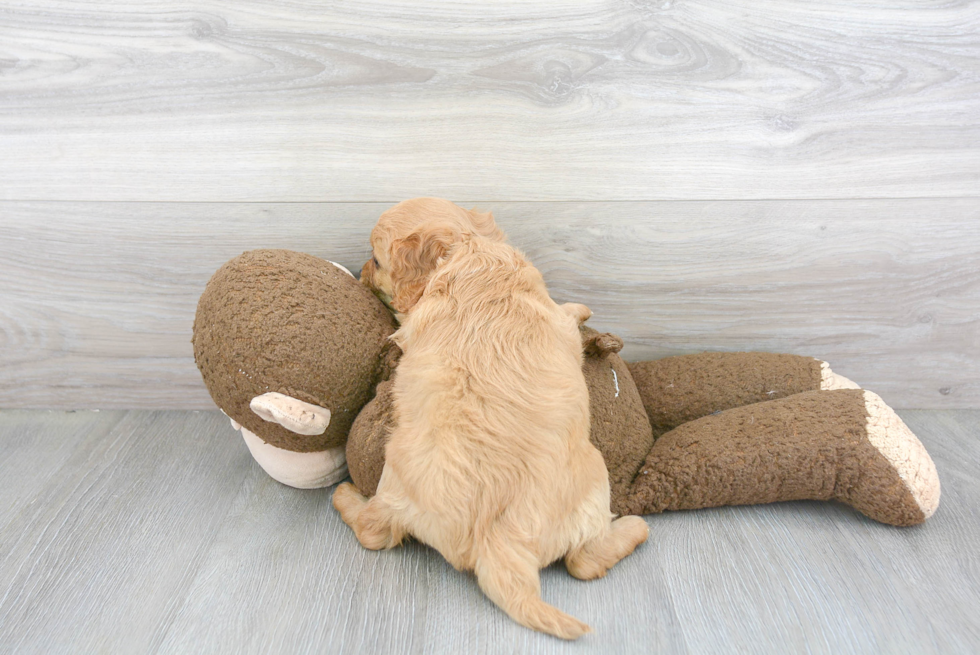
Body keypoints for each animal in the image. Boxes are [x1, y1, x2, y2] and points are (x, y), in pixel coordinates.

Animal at [334, 200, 648, 640]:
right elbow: (567, 313)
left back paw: (345, 495)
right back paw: (635, 528)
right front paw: (582, 307)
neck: (470, 251)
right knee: (583, 560)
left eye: (377, 260)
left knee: (373, 531)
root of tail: (495, 544)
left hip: (394, 483)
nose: (360, 270)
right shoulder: (557, 318)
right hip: (593, 480)